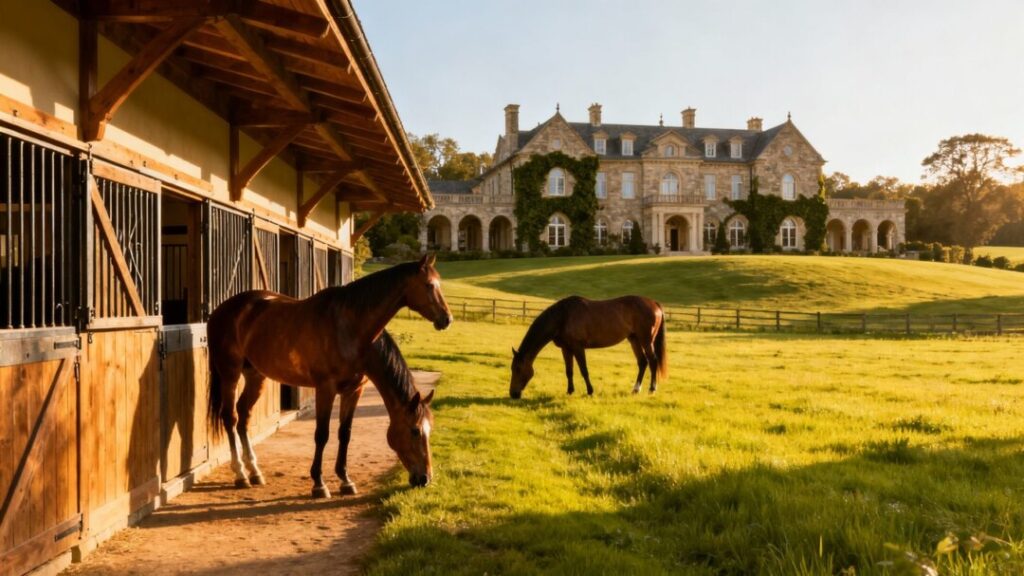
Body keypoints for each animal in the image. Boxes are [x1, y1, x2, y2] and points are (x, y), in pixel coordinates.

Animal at [207, 254, 452, 495]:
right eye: (415, 431)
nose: (425, 478)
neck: (350, 328)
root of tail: (222, 309)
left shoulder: (354, 390)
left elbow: (345, 433)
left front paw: (345, 480)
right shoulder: (326, 388)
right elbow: (322, 434)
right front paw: (319, 483)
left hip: (256, 376)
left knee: (244, 416)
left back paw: (255, 471)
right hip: (229, 373)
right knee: (230, 417)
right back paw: (240, 474)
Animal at [509, 295, 667, 399]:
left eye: (518, 369)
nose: (513, 394)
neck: (563, 316)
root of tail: (654, 303)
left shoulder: (578, 348)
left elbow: (584, 370)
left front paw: (590, 391)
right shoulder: (566, 349)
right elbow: (569, 371)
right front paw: (570, 391)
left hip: (646, 340)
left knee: (652, 361)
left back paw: (652, 389)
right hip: (634, 339)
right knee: (642, 362)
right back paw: (635, 389)